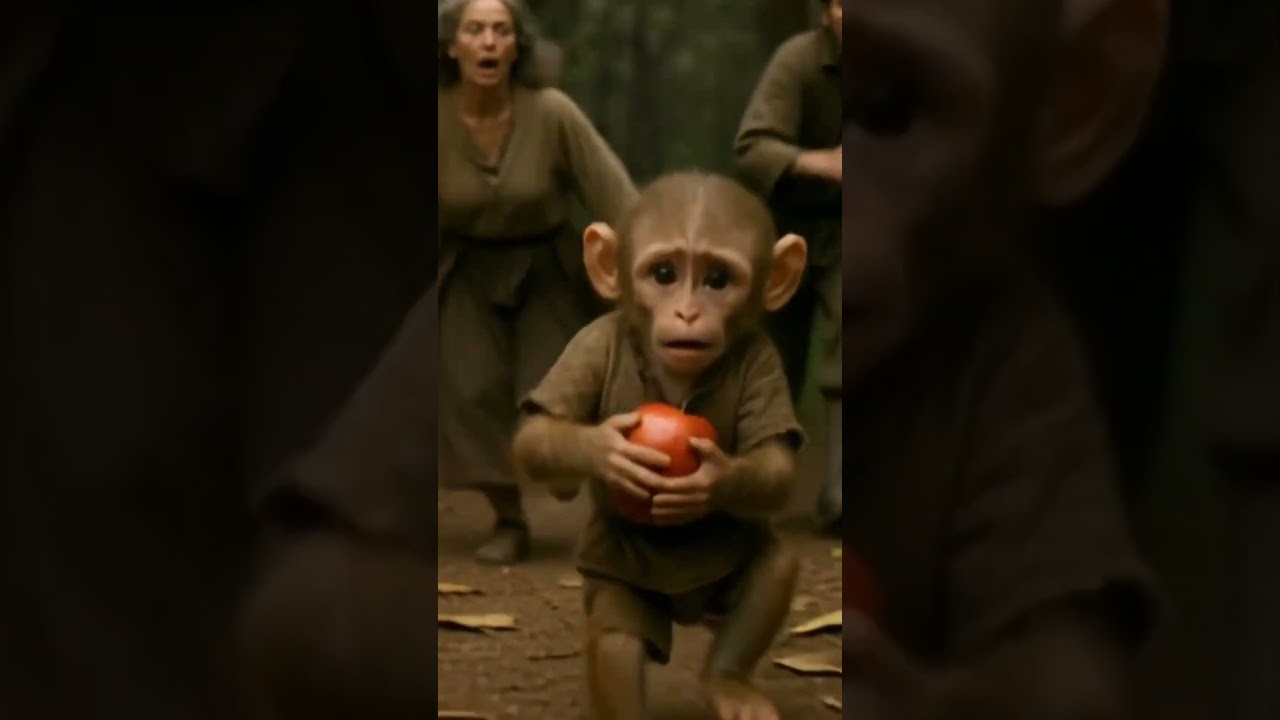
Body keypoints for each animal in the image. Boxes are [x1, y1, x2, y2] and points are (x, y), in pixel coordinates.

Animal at [510, 170, 809, 720]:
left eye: (718, 281)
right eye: (664, 274)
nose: (688, 313)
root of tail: (690, 609)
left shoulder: (763, 359)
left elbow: (775, 464)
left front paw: (712, 479)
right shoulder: (591, 342)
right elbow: (538, 437)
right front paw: (610, 452)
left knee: (774, 569)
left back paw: (727, 681)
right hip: (621, 584)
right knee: (617, 638)